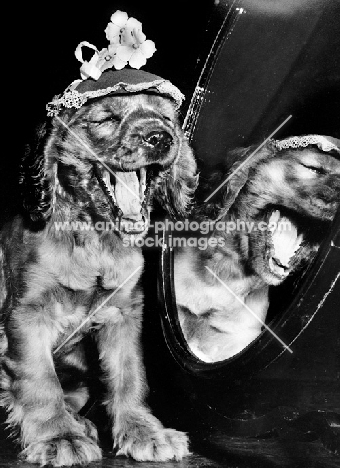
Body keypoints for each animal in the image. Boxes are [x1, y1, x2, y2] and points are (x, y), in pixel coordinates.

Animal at [0, 67, 197, 466]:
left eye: (167, 118)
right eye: (106, 119)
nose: (160, 137)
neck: (94, 239)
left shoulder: (123, 313)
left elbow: (129, 375)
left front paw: (144, 431)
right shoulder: (27, 315)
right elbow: (40, 380)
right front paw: (59, 438)